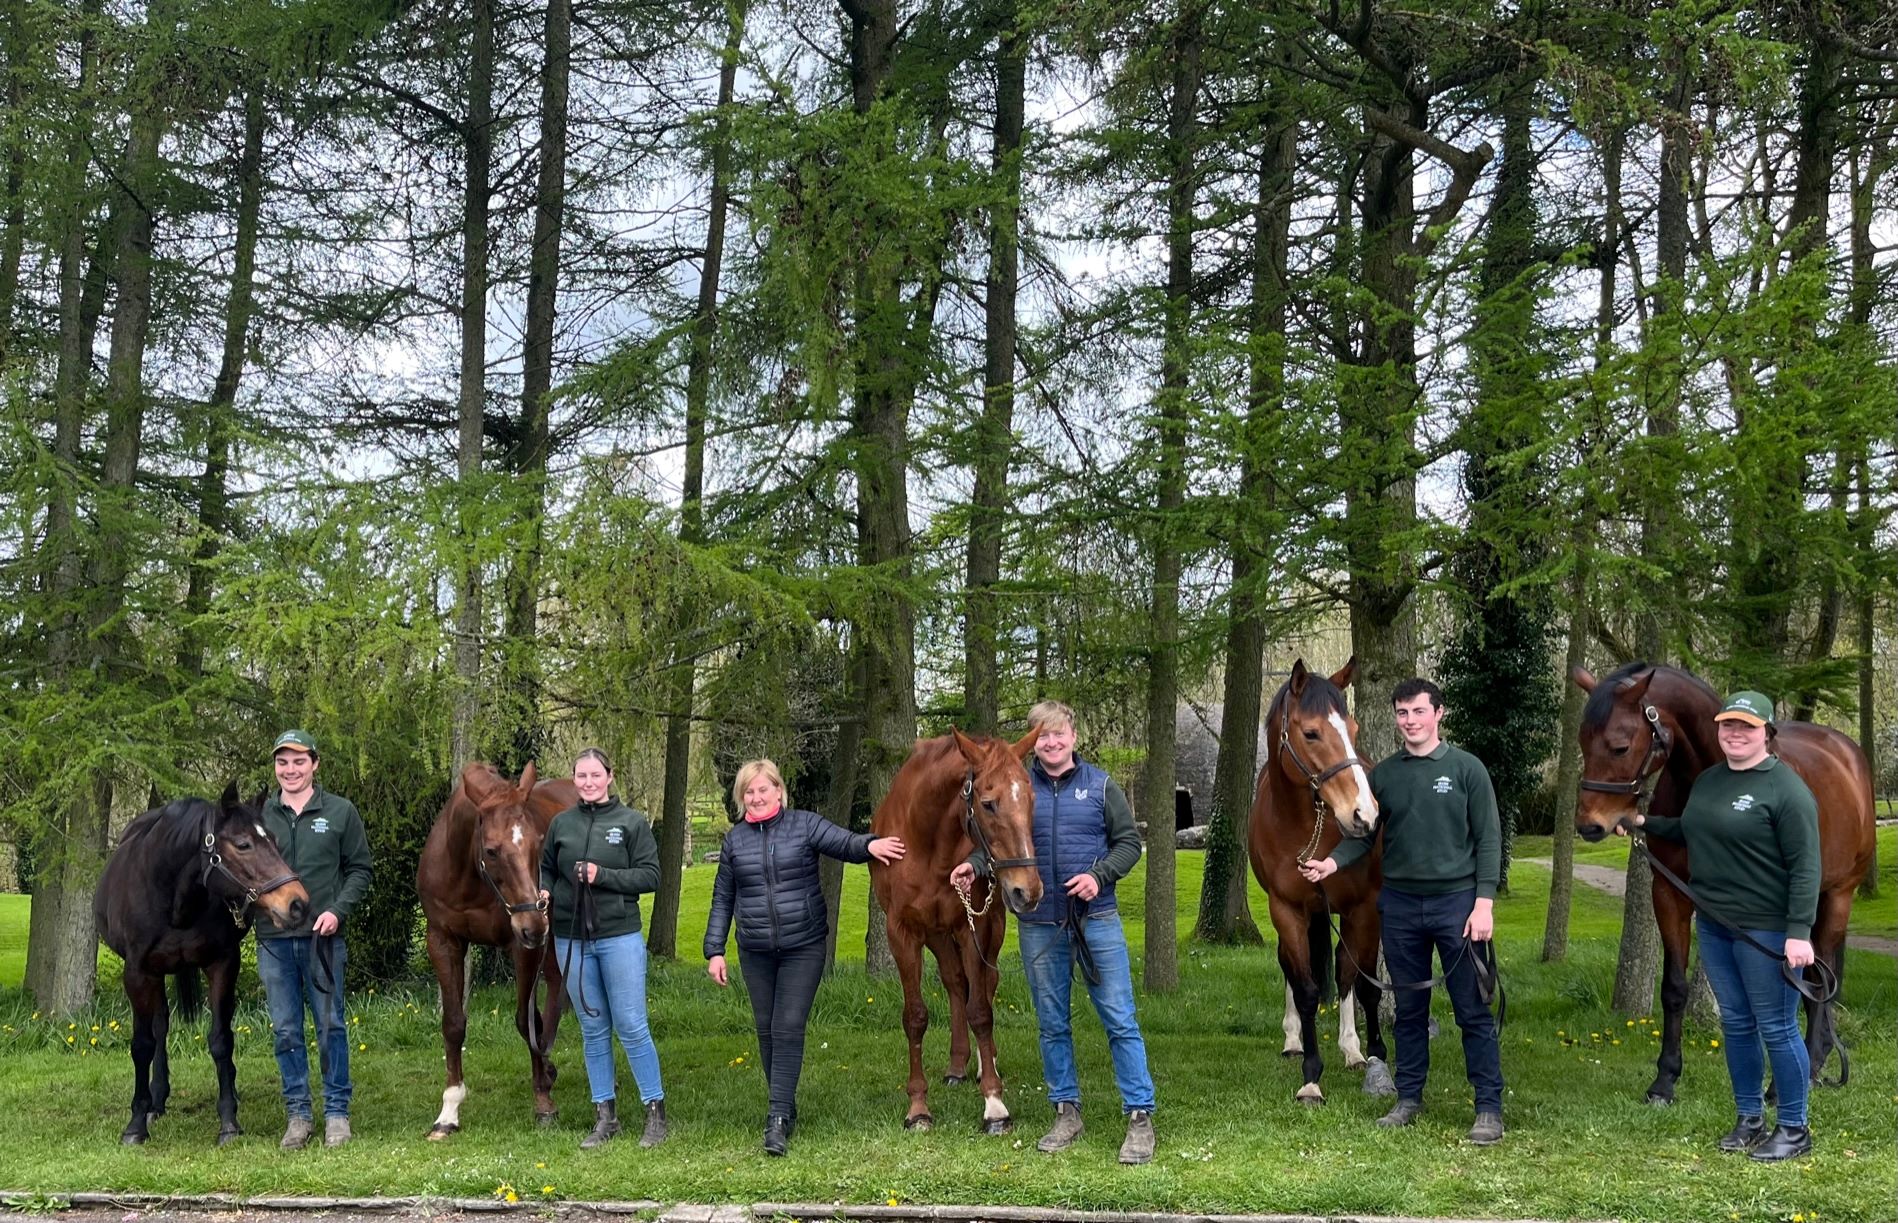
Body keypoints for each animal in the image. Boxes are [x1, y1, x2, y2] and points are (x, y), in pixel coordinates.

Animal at [95, 790, 309, 1139]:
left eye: (274, 840)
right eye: (243, 844)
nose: (297, 903)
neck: (171, 896)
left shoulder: (223, 964)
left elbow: (221, 1040)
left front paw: (229, 1120)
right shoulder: (138, 973)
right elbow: (142, 1044)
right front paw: (136, 1123)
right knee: (160, 1026)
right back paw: (157, 1100)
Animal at [421, 763, 576, 1139]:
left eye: (538, 842)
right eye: (491, 850)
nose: (533, 923)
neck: (468, 879)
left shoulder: (523, 946)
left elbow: (525, 1020)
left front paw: (543, 1102)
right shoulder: (443, 942)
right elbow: (453, 1023)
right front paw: (448, 1111)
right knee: (555, 985)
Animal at [869, 725, 1047, 1139]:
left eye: (1031, 798)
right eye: (989, 803)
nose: (1028, 890)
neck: (927, 842)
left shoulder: (973, 926)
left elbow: (980, 1009)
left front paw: (995, 1105)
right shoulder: (902, 932)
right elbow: (915, 1017)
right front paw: (918, 1108)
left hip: (989, 927)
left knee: (984, 983)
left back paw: (984, 1063)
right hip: (937, 934)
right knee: (954, 982)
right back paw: (956, 1065)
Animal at [1245, 660, 1396, 1109]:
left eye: (1354, 728)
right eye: (1311, 733)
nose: (1364, 814)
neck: (1304, 827)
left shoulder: (1364, 908)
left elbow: (1363, 985)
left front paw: (1374, 1054)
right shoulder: (1287, 910)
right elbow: (1307, 988)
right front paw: (1311, 1076)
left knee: (1345, 972)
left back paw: (1351, 1048)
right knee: (1292, 971)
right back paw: (1293, 1040)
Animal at [1571, 664, 1882, 1101]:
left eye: (1619, 746)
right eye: (1583, 743)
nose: (1590, 825)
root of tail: (1847, 753)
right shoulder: (1670, 893)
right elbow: (1674, 988)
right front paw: (1665, 1079)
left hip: (1838, 895)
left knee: (1817, 979)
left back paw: (1808, 1068)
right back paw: (1818, 1061)